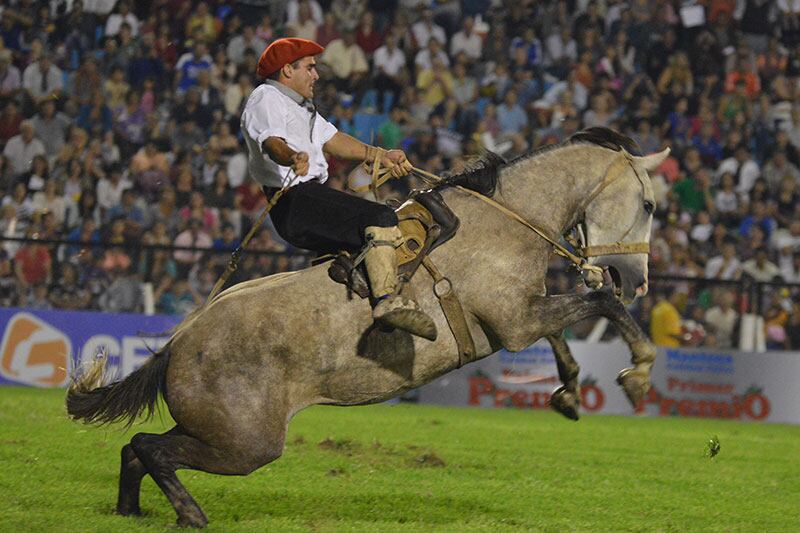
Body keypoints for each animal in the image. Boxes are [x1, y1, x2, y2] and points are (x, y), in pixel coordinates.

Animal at [67, 127, 668, 524]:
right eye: (647, 204)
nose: (636, 279)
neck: (504, 222)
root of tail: (179, 342)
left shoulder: (522, 314)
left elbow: (567, 329)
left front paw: (568, 392)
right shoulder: (517, 321)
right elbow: (599, 305)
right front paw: (638, 374)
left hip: (216, 430)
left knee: (135, 449)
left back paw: (131, 512)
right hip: (246, 443)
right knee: (149, 447)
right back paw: (190, 514)